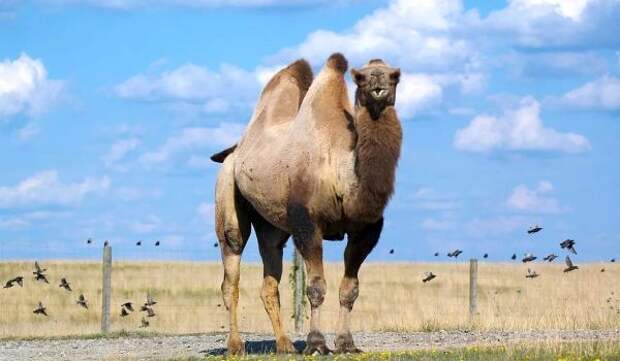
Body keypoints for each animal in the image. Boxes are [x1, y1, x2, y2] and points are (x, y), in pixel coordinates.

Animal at [213, 53, 404, 354]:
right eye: (361, 77)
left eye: (395, 76)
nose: (379, 87)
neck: (341, 173)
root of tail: (234, 151)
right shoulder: (307, 223)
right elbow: (315, 287)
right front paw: (316, 344)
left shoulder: (366, 230)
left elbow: (350, 289)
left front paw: (346, 344)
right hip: (227, 191)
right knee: (231, 264)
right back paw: (235, 346)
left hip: (271, 226)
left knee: (269, 272)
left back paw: (285, 345)